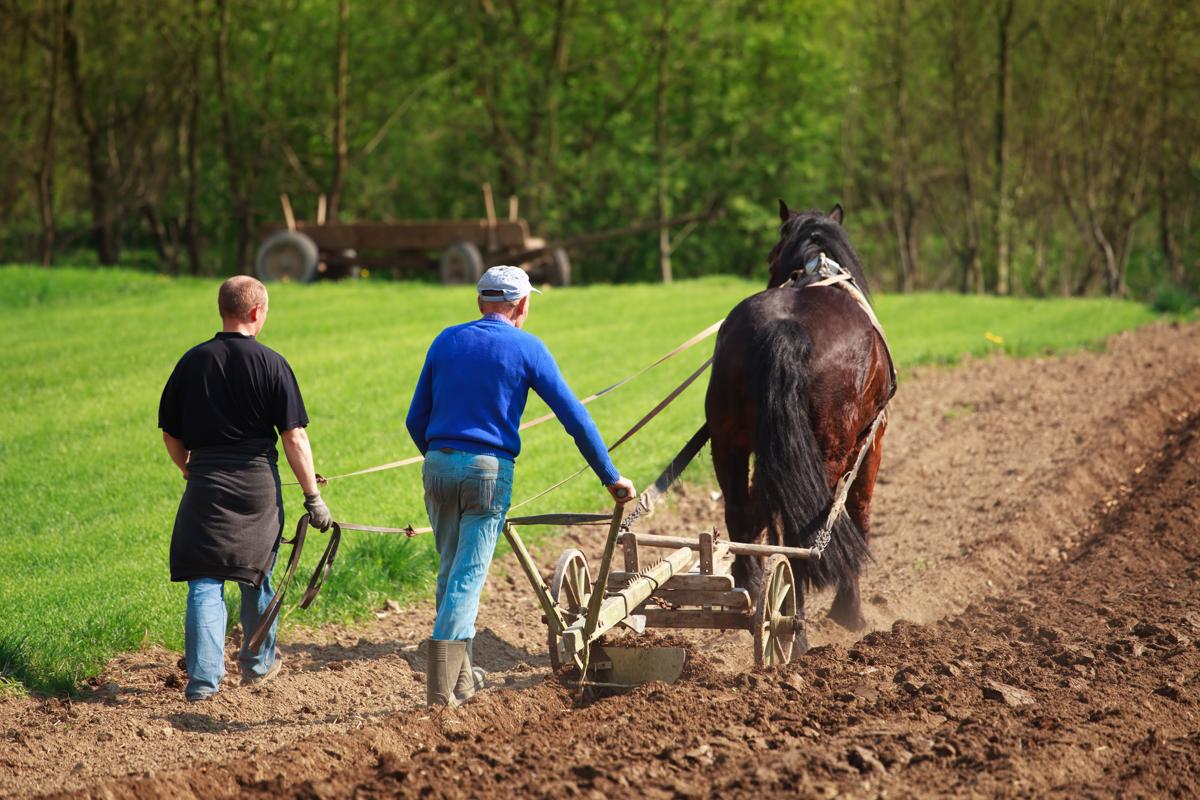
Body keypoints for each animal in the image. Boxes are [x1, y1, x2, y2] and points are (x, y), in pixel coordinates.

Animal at [704, 202, 893, 645]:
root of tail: (782, 328)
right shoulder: (871, 442)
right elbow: (858, 512)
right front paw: (850, 611)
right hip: (830, 449)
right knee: (802, 531)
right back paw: (794, 622)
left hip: (727, 442)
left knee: (743, 513)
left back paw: (752, 593)